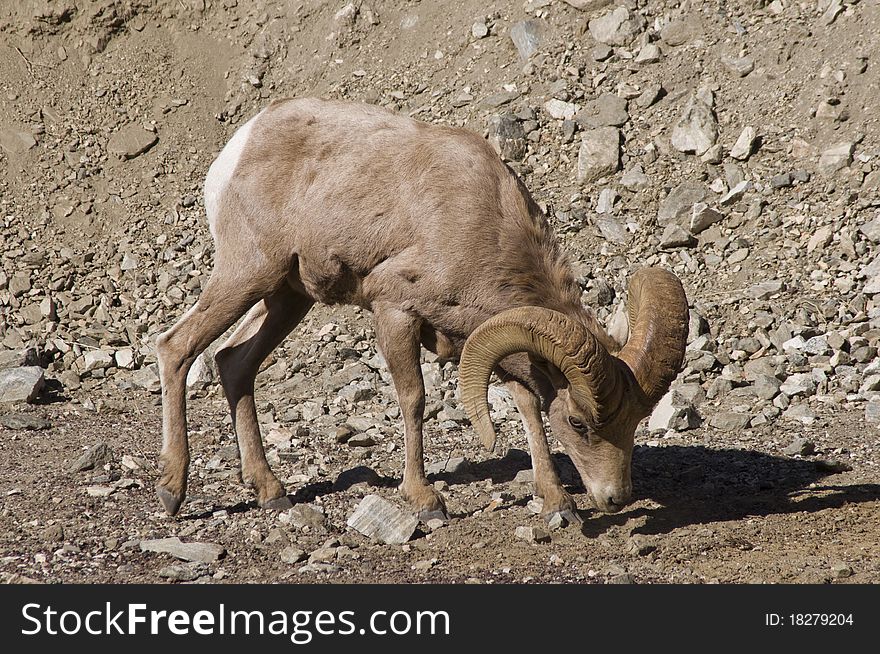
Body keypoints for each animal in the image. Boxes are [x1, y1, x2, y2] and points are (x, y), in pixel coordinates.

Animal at [160, 98, 696, 524]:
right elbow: (414, 399)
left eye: (634, 423)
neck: (480, 225)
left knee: (233, 362)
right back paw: (172, 492)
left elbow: (527, 406)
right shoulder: (395, 310)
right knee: (176, 347)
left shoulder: (486, 338)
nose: (616, 498)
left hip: (288, 297)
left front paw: (557, 503)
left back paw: (271, 492)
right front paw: (425, 501)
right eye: (581, 425)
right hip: (247, 274)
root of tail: (236, 149)